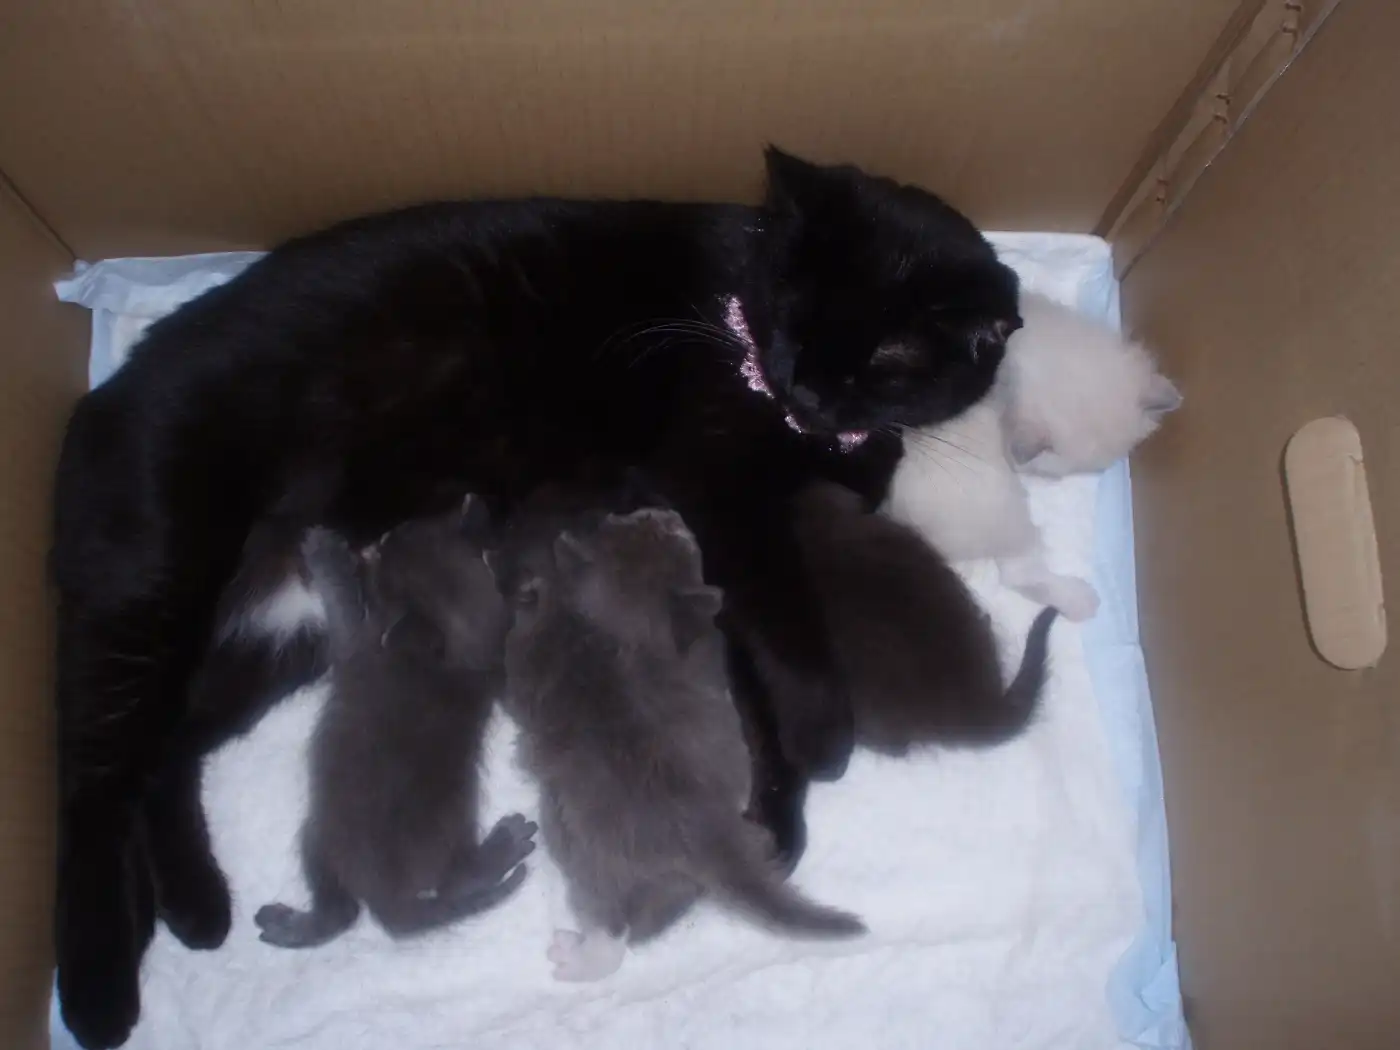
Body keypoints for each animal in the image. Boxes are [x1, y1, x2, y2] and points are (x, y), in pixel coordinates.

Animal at [254, 503, 534, 949]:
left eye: (387, 550)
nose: (380, 538)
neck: (458, 651)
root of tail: (386, 898)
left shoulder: (357, 647)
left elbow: (345, 614)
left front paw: (328, 559)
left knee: (447, 882)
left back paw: (501, 846)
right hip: (321, 832)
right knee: (347, 911)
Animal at [501, 508, 864, 982]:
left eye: (617, 518)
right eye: (631, 522)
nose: (666, 512)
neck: (624, 629)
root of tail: (708, 831)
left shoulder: (529, 657)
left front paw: (538, 587)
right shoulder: (706, 653)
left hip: (580, 845)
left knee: (610, 919)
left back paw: (583, 955)